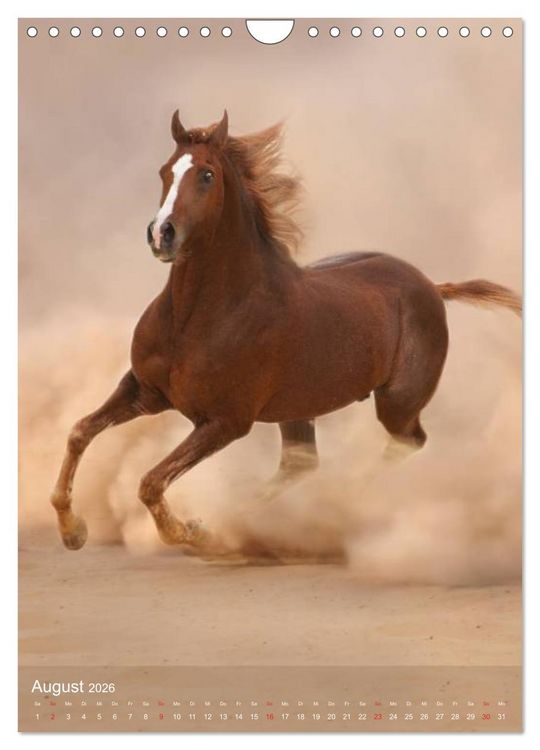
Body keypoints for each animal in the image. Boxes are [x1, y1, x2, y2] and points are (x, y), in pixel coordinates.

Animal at [50, 110, 521, 553]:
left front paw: (196, 532)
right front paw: (73, 531)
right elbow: (79, 432)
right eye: (165, 170)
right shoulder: (145, 391)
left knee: (407, 443)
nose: (161, 235)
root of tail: (432, 287)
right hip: (300, 407)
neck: (195, 318)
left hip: (398, 402)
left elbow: (150, 482)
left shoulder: (225, 421)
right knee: (303, 465)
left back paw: (332, 507)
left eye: (207, 174)